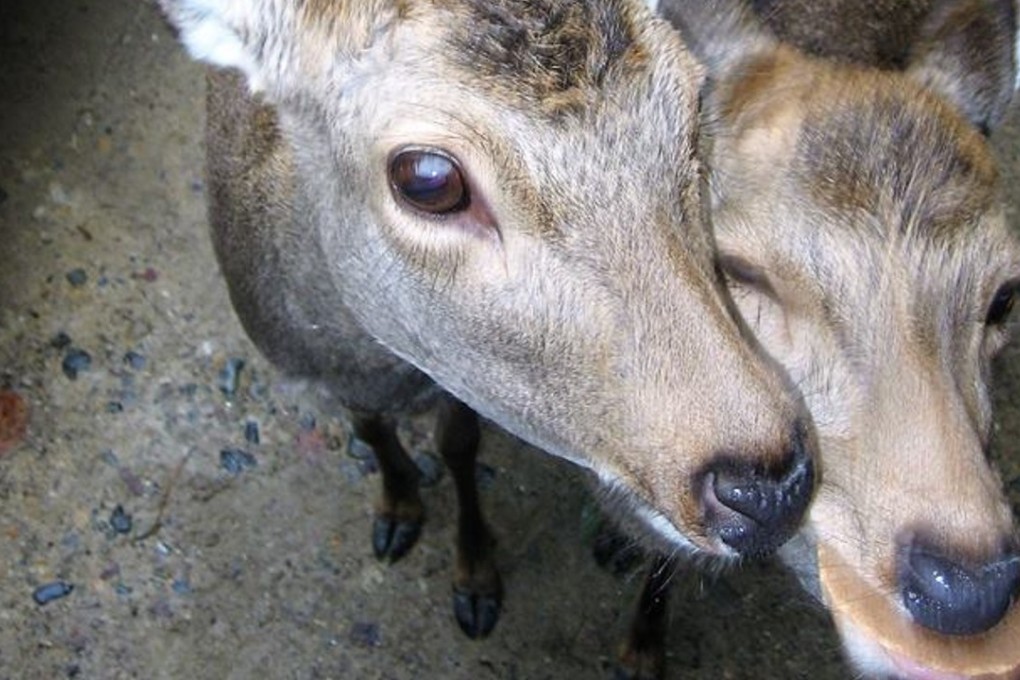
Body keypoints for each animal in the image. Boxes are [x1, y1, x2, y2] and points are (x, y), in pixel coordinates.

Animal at [155, 0, 819, 645]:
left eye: (693, 101)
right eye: (428, 178)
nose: (769, 489)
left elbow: (457, 446)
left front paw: (474, 580)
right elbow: (370, 431)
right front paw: (398, 511)